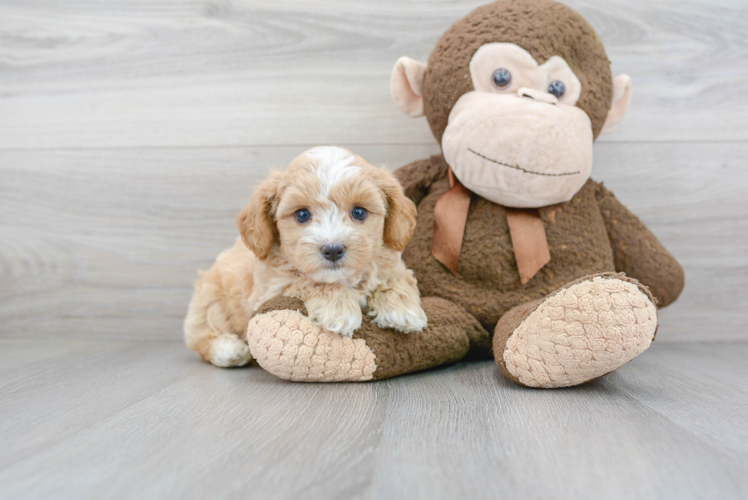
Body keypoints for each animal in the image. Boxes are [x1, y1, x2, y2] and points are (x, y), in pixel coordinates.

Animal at [184, 145, 426, 368]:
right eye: (302, 215)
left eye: (359, 212)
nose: (333, 249)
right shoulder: (270, 289)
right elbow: (306, 280)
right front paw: (339, 309)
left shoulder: (393, 262)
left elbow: (395, 278)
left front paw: (403, 310)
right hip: (212, 301)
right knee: (199, 335)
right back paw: (228, 349)